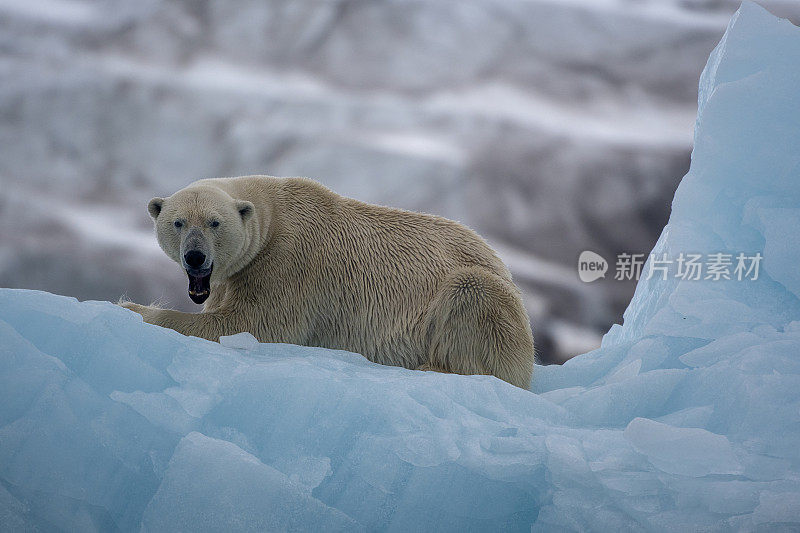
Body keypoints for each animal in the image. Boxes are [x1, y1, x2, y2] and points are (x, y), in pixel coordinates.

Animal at [122, 175, 536, 386]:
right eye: (178, 222)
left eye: (214, 222)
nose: (195, 256)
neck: (272, 216)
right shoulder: (230, 277)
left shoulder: (286, 266)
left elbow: (251, 325)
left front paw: (131, 306)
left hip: (485, 297)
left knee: (474, 297)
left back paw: (434, 368)